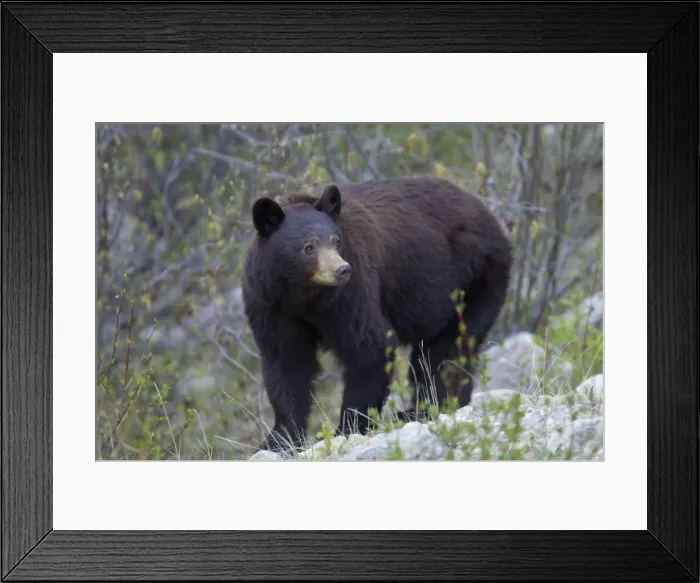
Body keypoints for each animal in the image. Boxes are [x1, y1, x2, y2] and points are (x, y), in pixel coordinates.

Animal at [241, 176, 513, 455]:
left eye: (336, 241)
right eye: (308, 247)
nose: (342, 270)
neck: (304, 296)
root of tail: (489, 216)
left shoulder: (351, 293)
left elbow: (370, 348)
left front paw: (347, 429)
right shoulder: (270, 304)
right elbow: (286, 361)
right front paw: (278, 439)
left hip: (474, 279)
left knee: (448, 349)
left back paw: (426, 410)